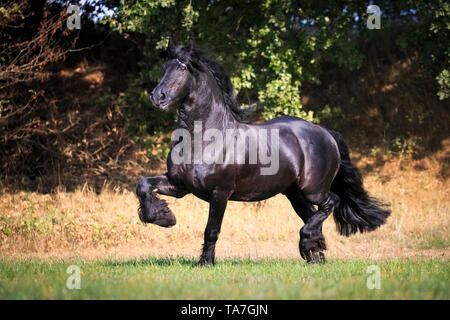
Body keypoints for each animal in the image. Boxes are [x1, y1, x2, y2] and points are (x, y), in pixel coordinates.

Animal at [135, 39, 388, 264]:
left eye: (182, 67)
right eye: (164, 67)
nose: (157, 97)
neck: (205, 140)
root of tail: (326, 133)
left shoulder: (220, 192)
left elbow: (211, 229)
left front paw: (205, 263)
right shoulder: (180, 186)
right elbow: (143, 185)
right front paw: (164, 218)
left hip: (313, 190)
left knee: (331, 202)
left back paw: (308, 245)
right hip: (294, 193)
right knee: (312, 216)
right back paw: (314, 255)